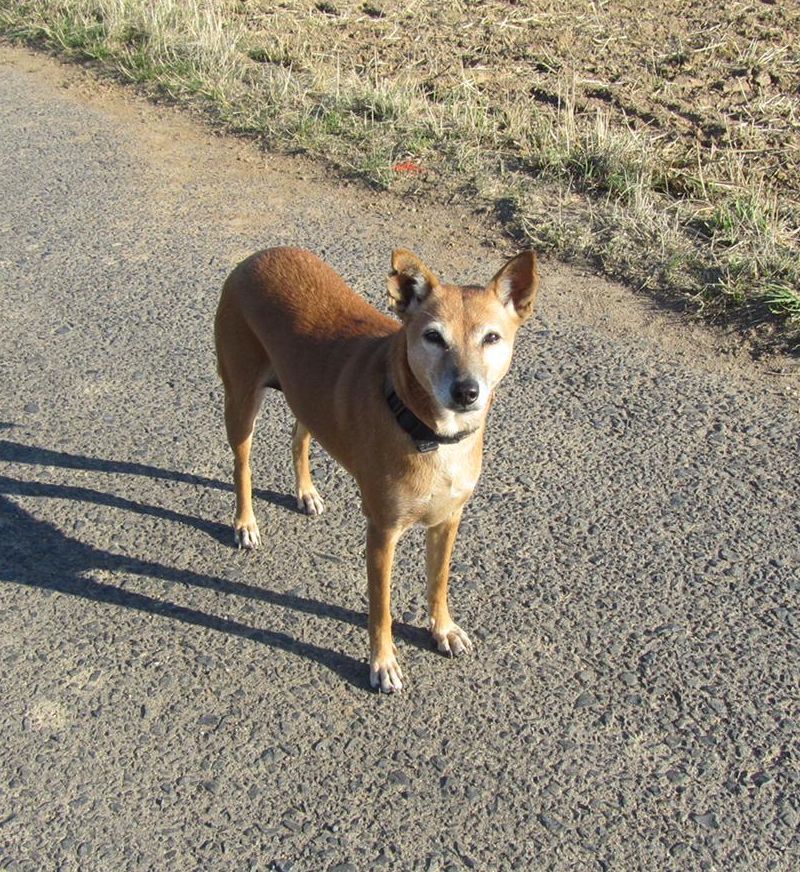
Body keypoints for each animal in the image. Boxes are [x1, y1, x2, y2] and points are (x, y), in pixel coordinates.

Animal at [212, 247, 536, 696]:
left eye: (491, 338)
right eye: (433, 337)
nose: (466, 391)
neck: (426, 429)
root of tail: (259, 256)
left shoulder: (448, 520)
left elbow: (438, 581)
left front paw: (442, 629)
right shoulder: (382, 533)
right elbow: (380, 608)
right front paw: (383, 663)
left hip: (306, 394)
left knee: (300, 434)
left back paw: (306, 491)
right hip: (241, 400)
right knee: (242, 464)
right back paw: (245, 523)